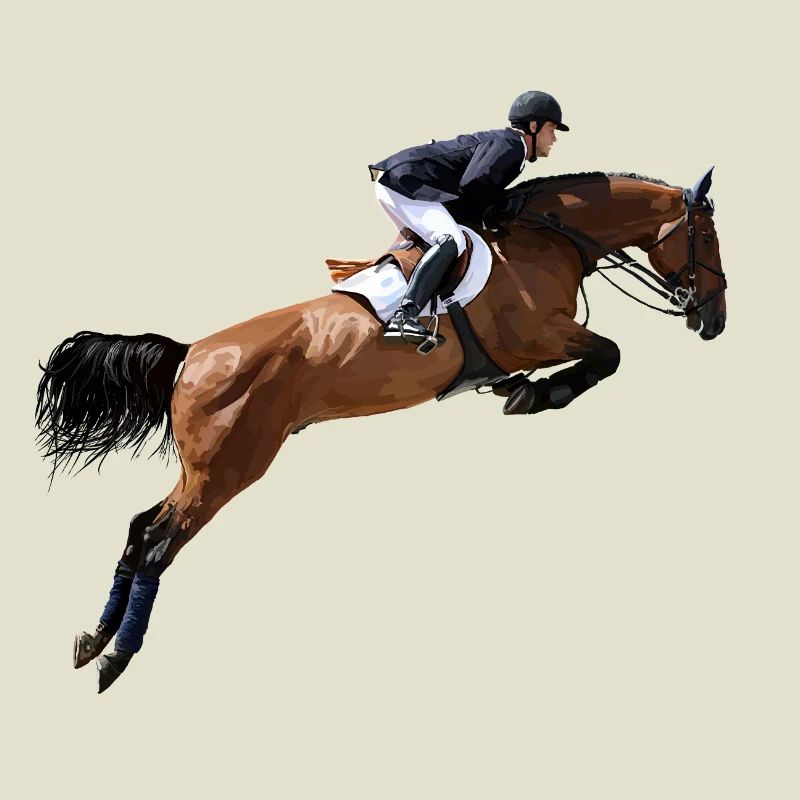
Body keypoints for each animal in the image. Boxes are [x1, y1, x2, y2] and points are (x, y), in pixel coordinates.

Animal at [35, 168, 727, 693]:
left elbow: (601, 356)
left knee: (139, 528)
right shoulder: (540, 333)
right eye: (707, 237)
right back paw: (116, 658)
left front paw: (520, 391)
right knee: (158, 542)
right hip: (229, 468)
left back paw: (93, 640)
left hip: (203, 468)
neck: (545, 239)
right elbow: (609, 353)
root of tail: (191, 353)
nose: (714, 319)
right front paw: (535, 394)